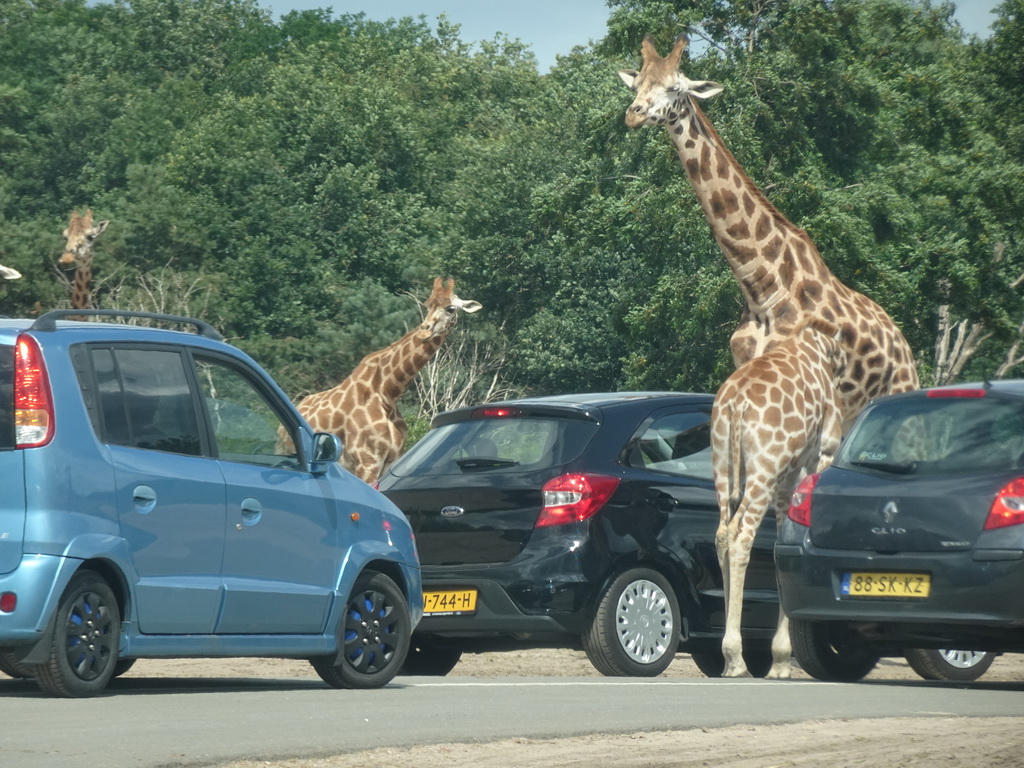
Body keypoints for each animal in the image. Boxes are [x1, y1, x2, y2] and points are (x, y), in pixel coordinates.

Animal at [299, 274, 481, 481]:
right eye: (427, 305)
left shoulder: (389, 462)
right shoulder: (368, 461)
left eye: (450, 308)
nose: (424, 331)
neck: (387, 393)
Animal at [618, 36, 925, 434]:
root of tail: (903, 344)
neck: (761, 290)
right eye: (637, 84)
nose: (634, 113)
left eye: (674, 87)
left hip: (892, 396)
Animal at [712, 317, 847, 679]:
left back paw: (728, 661)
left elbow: (781, 544)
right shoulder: (819, 458)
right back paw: (737, 659)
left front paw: (780, 659)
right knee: (741, 536)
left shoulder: (789, 475)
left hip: (723, 467)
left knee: (722, 535)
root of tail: (736, 405)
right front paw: (782, 660)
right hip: (764, 470)